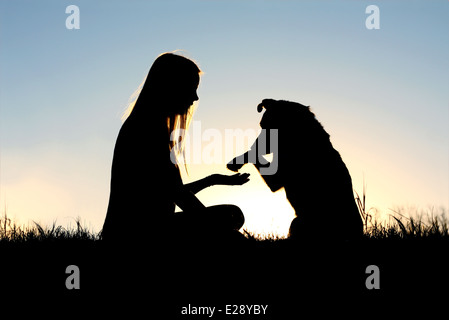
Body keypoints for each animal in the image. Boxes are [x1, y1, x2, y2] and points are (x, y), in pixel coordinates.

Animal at [229, 99, 362, 241]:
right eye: (261, 125)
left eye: (270, 126)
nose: (255, 144)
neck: (299, 139)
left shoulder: (276, 180)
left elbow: (253, 154)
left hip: (298, 222)